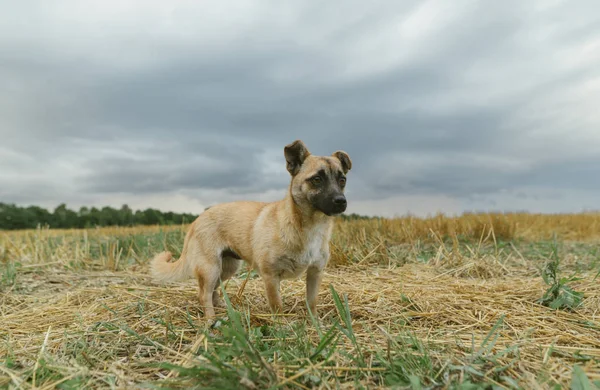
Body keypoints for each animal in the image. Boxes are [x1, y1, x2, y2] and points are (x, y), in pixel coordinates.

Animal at [149, 140, 352, 320]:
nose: (341, 201)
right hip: (210, 268)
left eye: (342, 180)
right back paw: (210, 320)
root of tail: (197, 220)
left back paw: (223, 308)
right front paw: (282, 327)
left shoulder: (315, 273)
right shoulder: (270, 276)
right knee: (203, 295)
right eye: (317, 179)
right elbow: (277, 306)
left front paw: (315, 323)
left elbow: (312, 302)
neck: (309, 226)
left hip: (226, 268)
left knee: (213, 290)